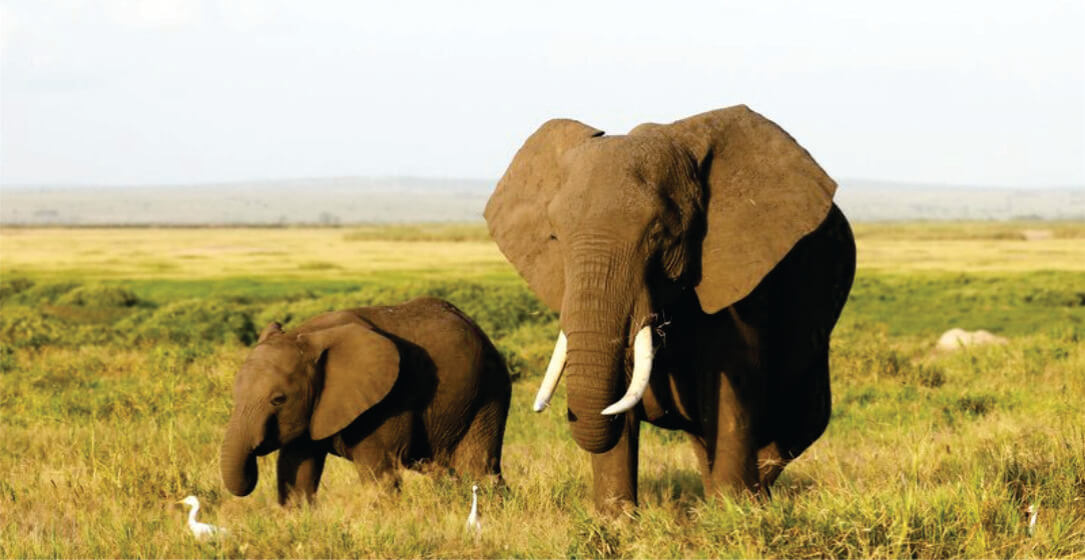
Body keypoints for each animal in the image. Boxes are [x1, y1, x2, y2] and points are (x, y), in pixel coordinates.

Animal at [220, 297, 511, 505]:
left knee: (478, 468)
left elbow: (379, 478)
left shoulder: (388, 401)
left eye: (278, 400)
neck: (307, 336)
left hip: (489, 392)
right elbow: (296, 472)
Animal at [484, 105, 856, 513]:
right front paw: (614, 521)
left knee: (797, 425)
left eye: (660, 235)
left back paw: (751, 499)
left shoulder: (741, 274)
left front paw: (730, 515)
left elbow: (730, 393)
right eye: (555, 236)